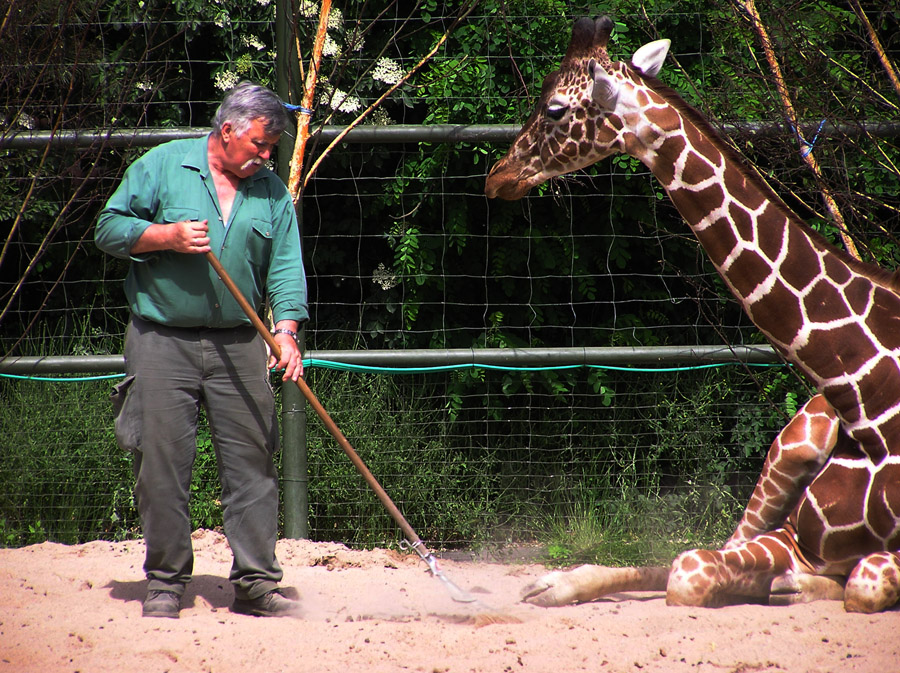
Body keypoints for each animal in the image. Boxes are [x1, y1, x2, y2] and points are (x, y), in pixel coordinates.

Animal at [486, 17, 900, 616]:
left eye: (556, 109)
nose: (498, 176)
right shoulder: (800, 534)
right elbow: (691, 570)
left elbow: (860, 582)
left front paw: (794, 585)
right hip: (792, 446)